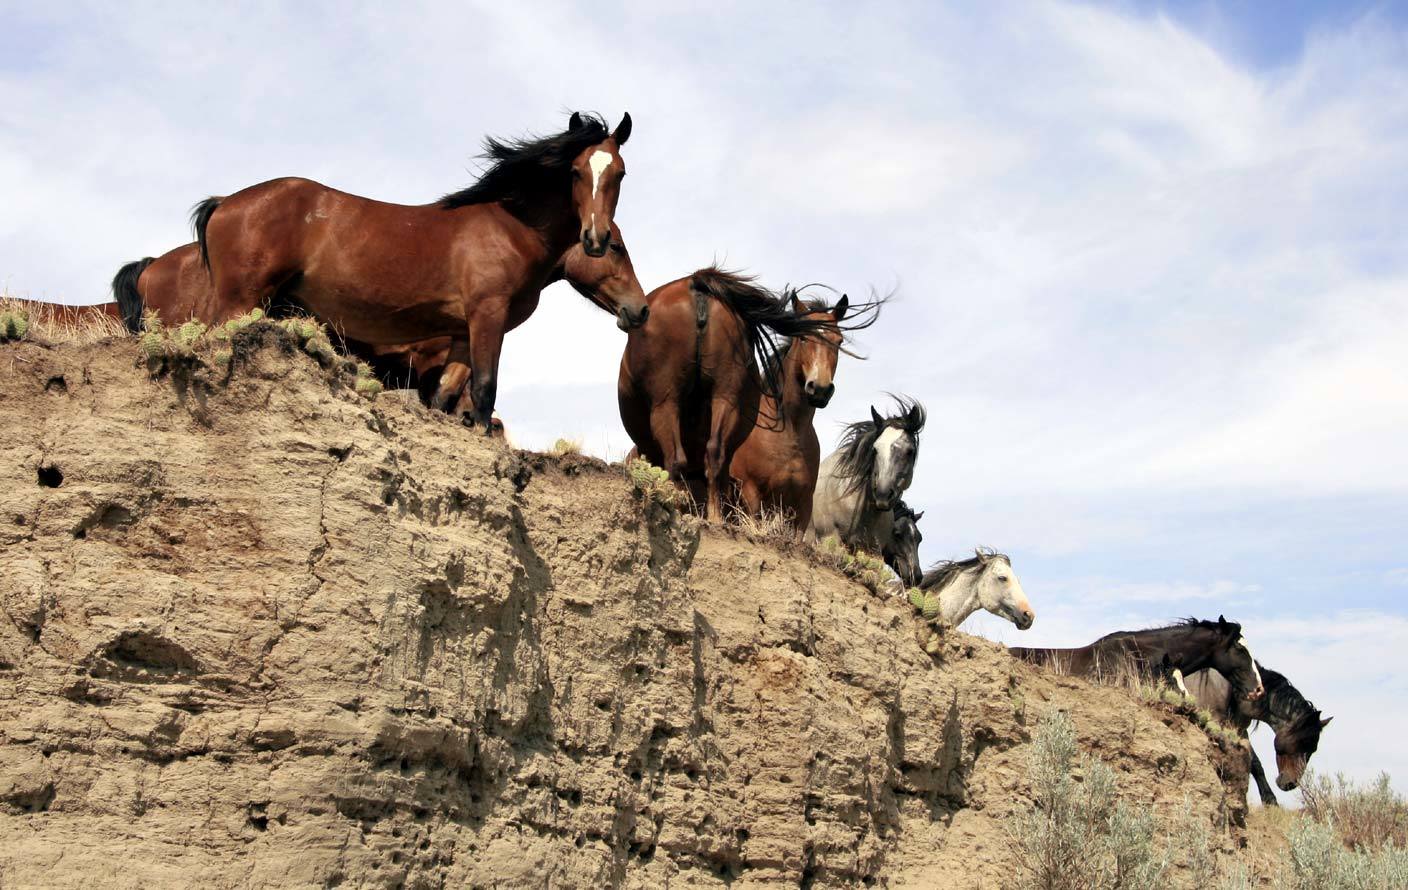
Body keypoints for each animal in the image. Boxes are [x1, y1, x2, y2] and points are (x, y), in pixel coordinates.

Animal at [194, 112, 644, 433]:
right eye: (576, 171)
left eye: (620, 173)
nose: (596, 237)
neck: (511, 228)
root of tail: (225, 202)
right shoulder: (488, 317)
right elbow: (485, 392)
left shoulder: (462, 334)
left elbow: (445, 399)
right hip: (240, 301)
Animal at [619, 271, 872, 521]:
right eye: (802, 338)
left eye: (839, 341)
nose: (819, 389)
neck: (789, 433)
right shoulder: (752, 497)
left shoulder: (801, 507)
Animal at [1188, 661, 1329, 805]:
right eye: (1301, 743)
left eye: (1313, 750)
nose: (1290, 784)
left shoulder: (1240, 731)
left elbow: (1255, 763)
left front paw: (1269, 800)